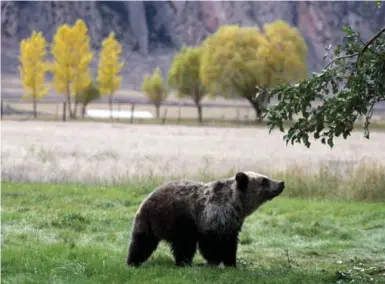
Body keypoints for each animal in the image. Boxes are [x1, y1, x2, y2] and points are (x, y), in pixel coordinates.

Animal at [124, 172, 284, 268]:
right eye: (264, 180)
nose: (281, 183)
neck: (237, 205)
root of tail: (148, 198)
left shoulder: (232, 224)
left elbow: (230, 244)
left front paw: (231, 263)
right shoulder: (211, 217)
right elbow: (210, 243)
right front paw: (214, 261)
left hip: (150, 222)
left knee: (143, 242)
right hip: (174, 219)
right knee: (179, 244)